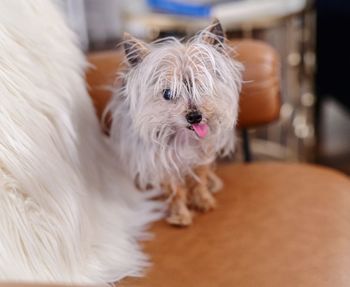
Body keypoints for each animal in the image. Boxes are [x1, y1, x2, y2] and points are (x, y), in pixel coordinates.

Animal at [108, 20, 242, 227]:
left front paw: (203, 200)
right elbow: (175, 190)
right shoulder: (162, 163)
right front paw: (180, 215)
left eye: (202, 87)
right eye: (167, 93)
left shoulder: (202, 155)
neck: (185, 136)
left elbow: (199, 179)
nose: (194, 117)